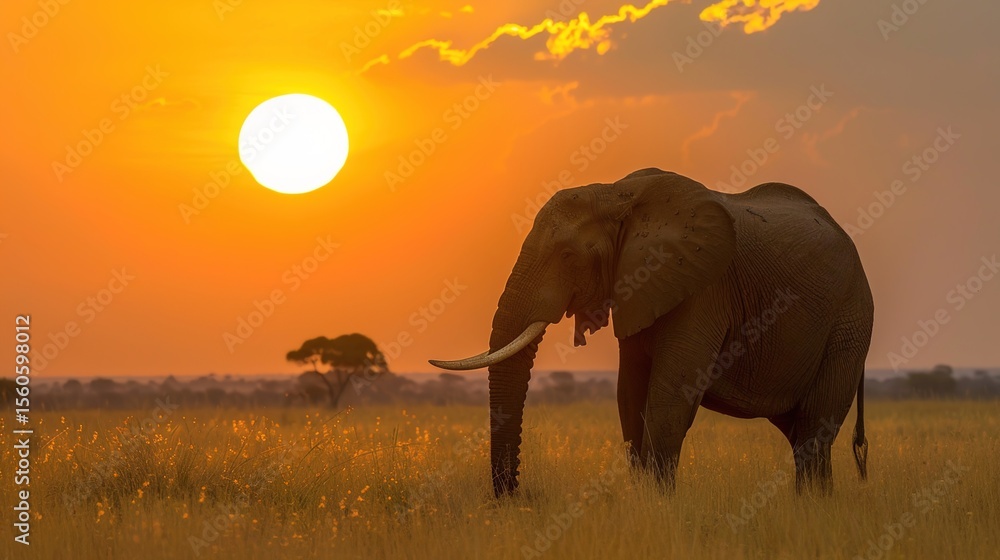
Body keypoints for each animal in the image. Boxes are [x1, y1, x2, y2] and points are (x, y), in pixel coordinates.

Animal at [431, 168, 873, 497]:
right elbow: (630, 397)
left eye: (569, 256)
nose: (512, 497)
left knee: (814, 431)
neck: (615, 194)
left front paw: (660, 505)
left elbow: (669, 397)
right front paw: (646, 500)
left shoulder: (703, 288)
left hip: (849, 322)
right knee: (802, 435)